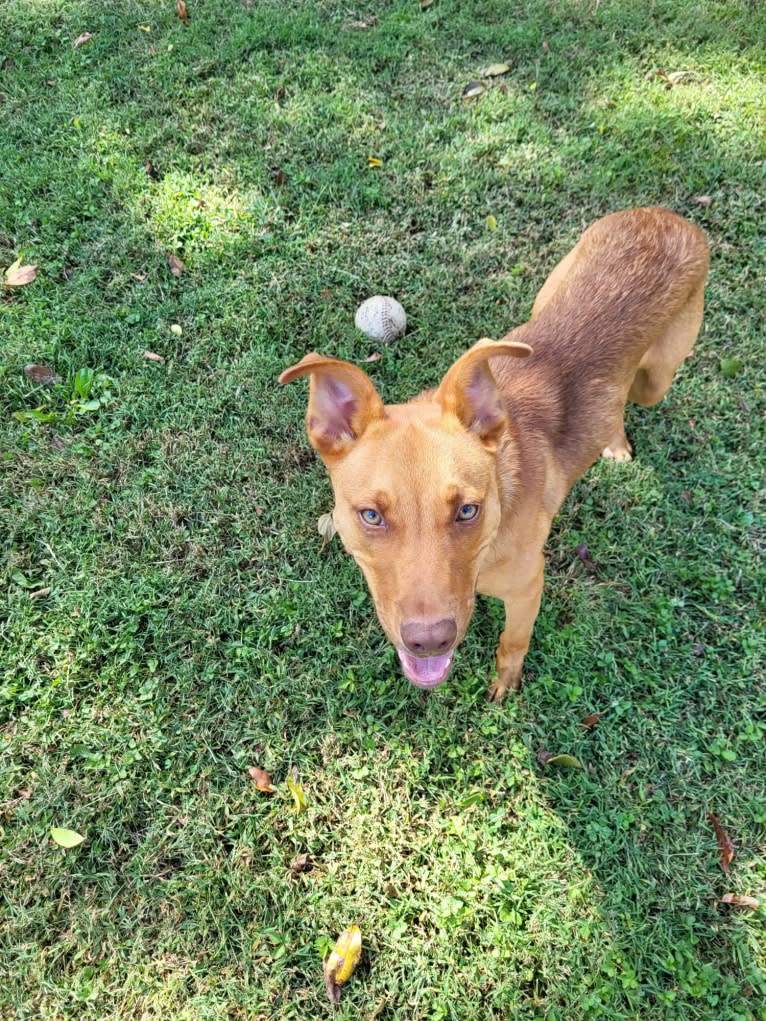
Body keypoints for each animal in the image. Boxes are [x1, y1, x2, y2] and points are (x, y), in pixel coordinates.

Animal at [279, 207, 710, 702]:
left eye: (468, 510)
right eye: (371, 516)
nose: (430, 641)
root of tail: (666, 215)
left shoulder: (528, 588)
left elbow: (513, 641)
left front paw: (505, 683)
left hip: (657, 377)